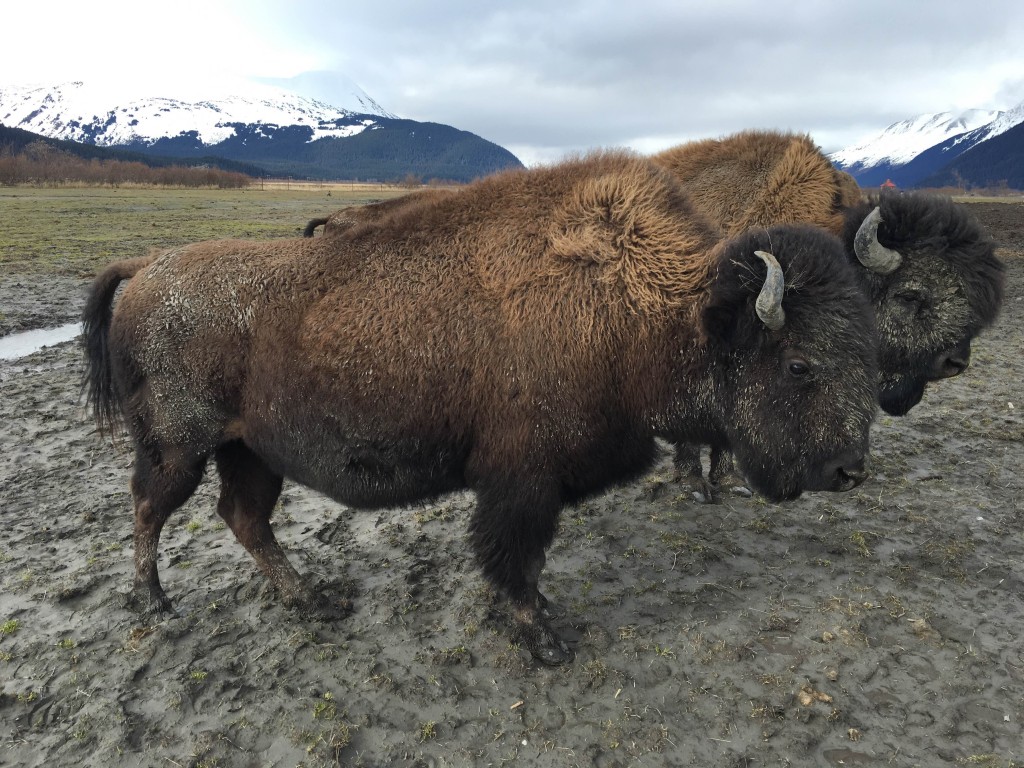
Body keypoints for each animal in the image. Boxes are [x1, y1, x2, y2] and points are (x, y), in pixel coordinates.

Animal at [81, 151, 880, 667]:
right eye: (799, 364)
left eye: (862, 349)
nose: (850, 470)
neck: (648, 305)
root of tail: (148, 267)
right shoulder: (522, 483)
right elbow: (515, 560)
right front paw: (544, 640)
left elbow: (516, 562)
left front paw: (530, 621)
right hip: (178, 446)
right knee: (149, 508)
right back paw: (155, 603)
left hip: (251, 452)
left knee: (243, 518)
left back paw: (315, 601)